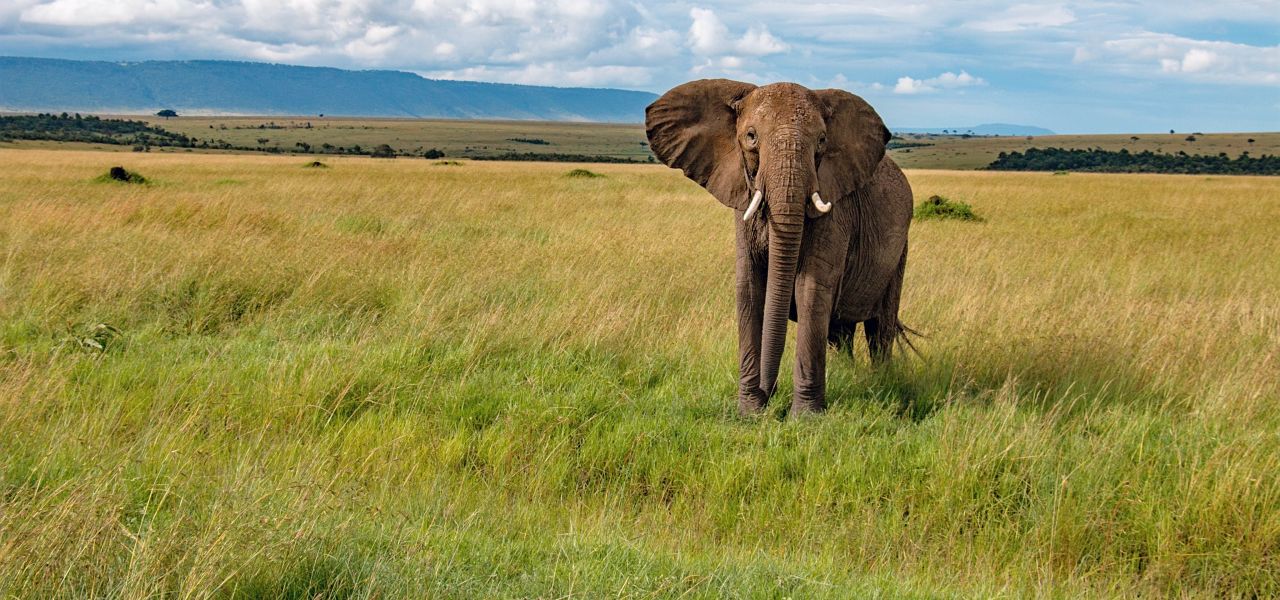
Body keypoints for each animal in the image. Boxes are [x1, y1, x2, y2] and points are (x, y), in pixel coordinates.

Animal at [650, 78, 911, 417]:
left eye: (822, 141)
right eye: (751, 137)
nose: (770, 395)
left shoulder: (834, 209)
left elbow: (810, 289)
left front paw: (806, 417)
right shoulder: (742, 200)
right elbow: (750, 288)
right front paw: (750, 412)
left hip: (900, 251)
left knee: (880, 328)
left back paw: (881, 380)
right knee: (841, 330)